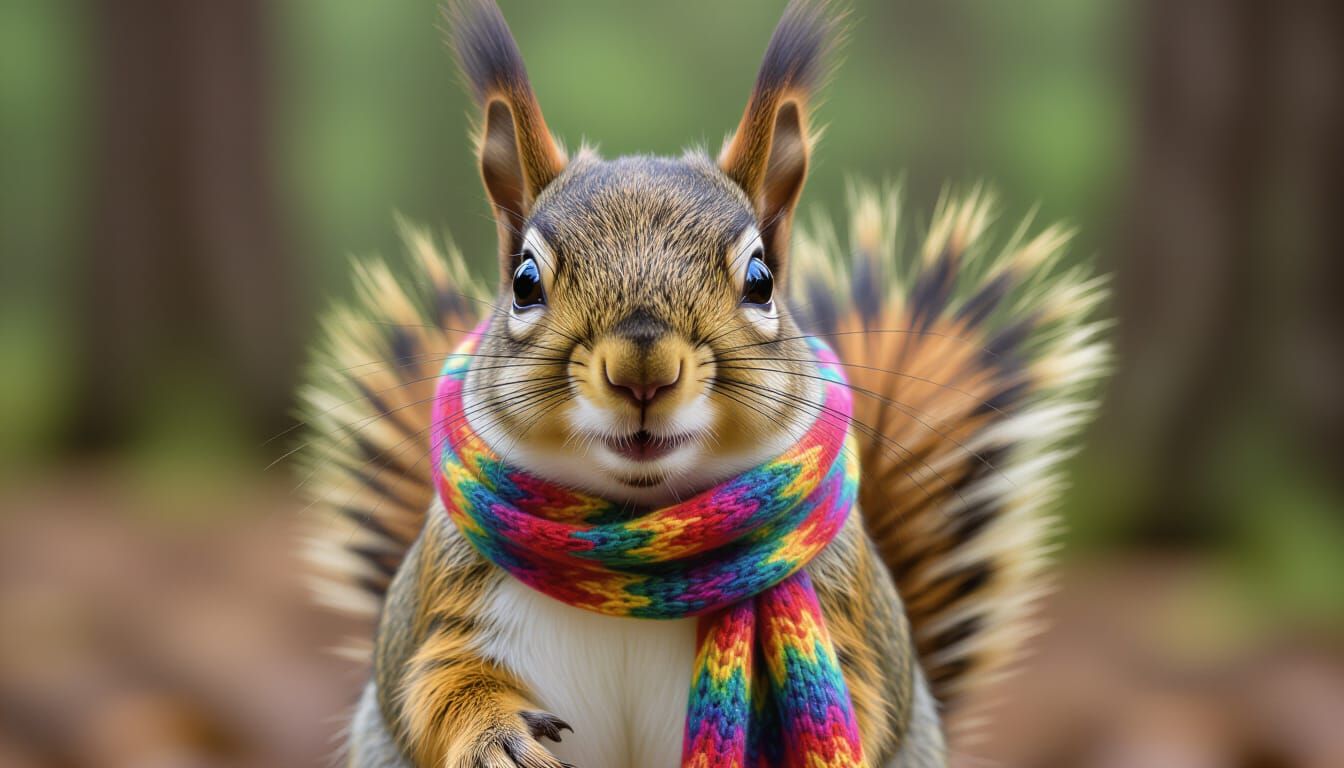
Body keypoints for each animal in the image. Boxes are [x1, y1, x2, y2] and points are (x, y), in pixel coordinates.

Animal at [298, 1, 1110, 766]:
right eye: (524, 281)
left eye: (761, 279)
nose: (643, 370)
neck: (637, 531)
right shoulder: (443, 602)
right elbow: (427, 685)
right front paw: (496, 735)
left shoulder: (847, 619)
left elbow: (861, 699)